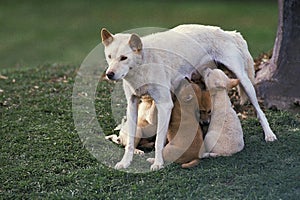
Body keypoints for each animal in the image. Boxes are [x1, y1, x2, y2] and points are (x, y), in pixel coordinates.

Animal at [101, 23, 276, 170]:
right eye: (109, 57)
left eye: (123, 58)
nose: (109, 74)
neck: (144, 63)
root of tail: (229, 33)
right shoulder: (132, 104)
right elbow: (131, 142)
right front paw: (125, 163)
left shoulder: (165, 105)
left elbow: (158, 141)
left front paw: (158, 163)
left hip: (245, 82)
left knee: (259, 111)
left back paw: (269, 135)